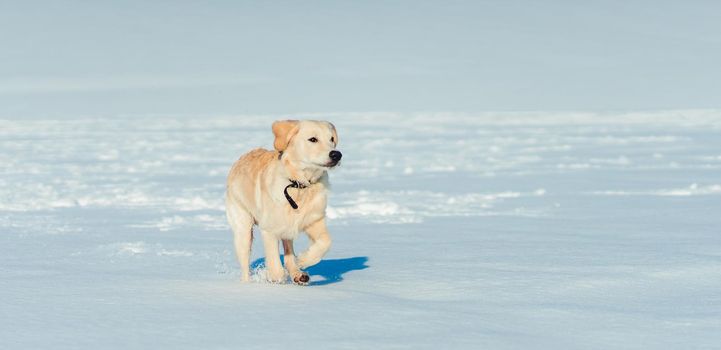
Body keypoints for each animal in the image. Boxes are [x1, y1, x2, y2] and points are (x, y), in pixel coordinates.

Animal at [225, 120, 340, 284]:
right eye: (313, 139)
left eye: (332, 139)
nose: (336, 154)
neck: (299, 184)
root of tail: (240, 159)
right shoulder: (269, 229)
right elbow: (275, 265)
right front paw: (275, 276)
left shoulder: (315, 220)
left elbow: (326, 242)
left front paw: (303, 260)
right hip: (243, 227)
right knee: (245, 263)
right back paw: (248, 283)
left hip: (287, 229)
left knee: (288, 250)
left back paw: (298, 273)